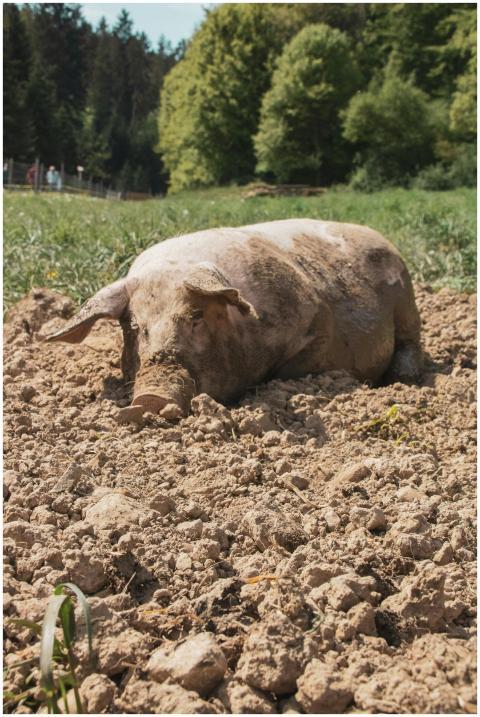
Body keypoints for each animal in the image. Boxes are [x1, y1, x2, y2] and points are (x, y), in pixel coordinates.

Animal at [46, 218, 423, 414]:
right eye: (135, 328)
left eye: (195, 317)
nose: (151, 397)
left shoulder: (317, 322)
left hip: (407, 300)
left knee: (411, 342)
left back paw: (404, 378)